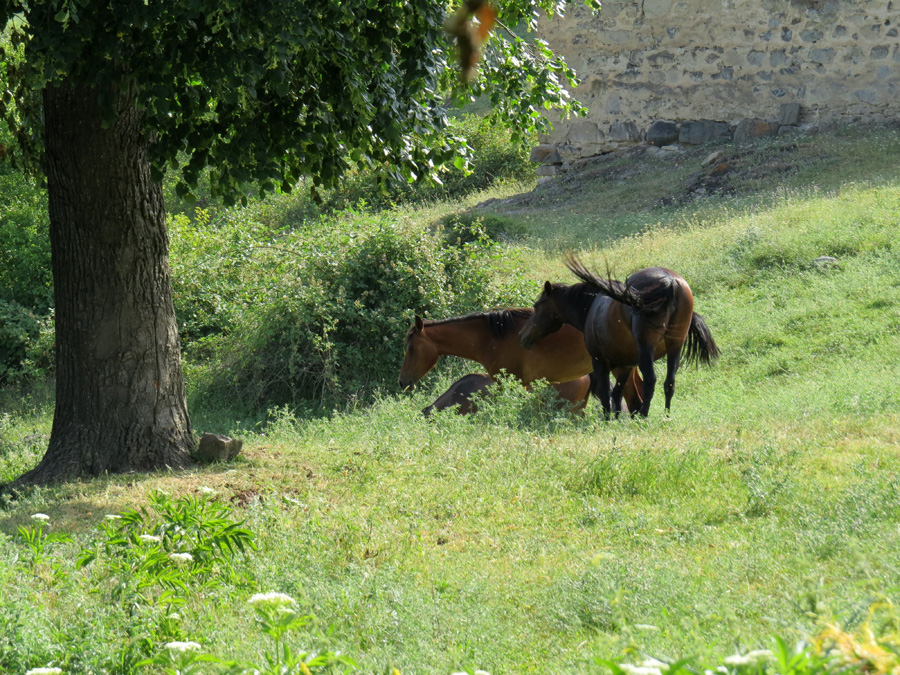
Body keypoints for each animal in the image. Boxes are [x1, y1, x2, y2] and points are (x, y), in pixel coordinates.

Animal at [520, 258, 716, 418]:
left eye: (536, 306)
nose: (522, 335)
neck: (591, 306)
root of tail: (670, 281)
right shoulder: (626, 365)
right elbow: (617, 393)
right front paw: (616, 419)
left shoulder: (600, 363)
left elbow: (606, 395)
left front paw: (608, 421)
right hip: (675, 346)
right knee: (669, 383)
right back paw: (666, 417)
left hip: (647, 350)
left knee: (650, 381)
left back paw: (644, 416)